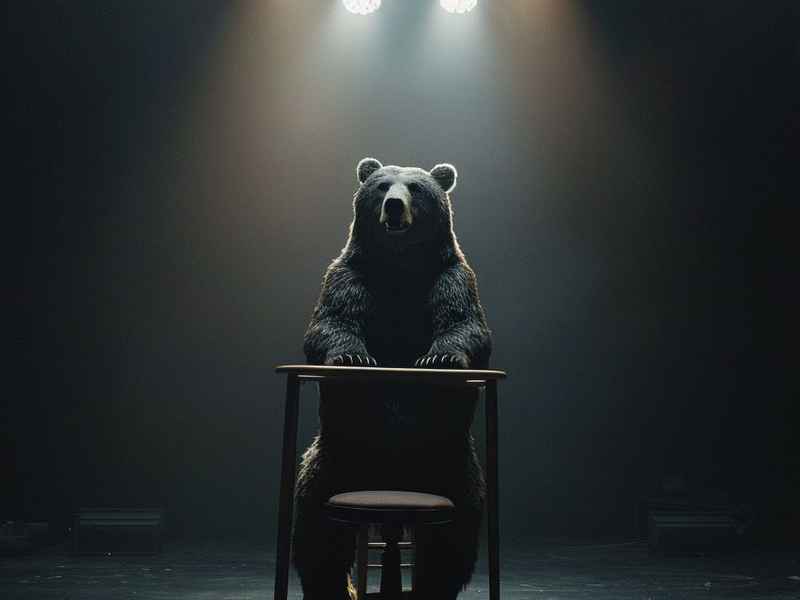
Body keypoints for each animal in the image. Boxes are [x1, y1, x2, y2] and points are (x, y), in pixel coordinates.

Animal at [293, 157, 492, 600]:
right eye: (382, 185)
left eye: (415, 189)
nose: (394, 206)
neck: (399, 268)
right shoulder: (349, 275)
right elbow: (330, 323)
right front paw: (351, 356)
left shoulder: (451, 277)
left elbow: (464, 324)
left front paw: (439, 358)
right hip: (337, 458)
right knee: (316, 529)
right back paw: (334, 587)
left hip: (450, 464)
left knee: (455, 536)